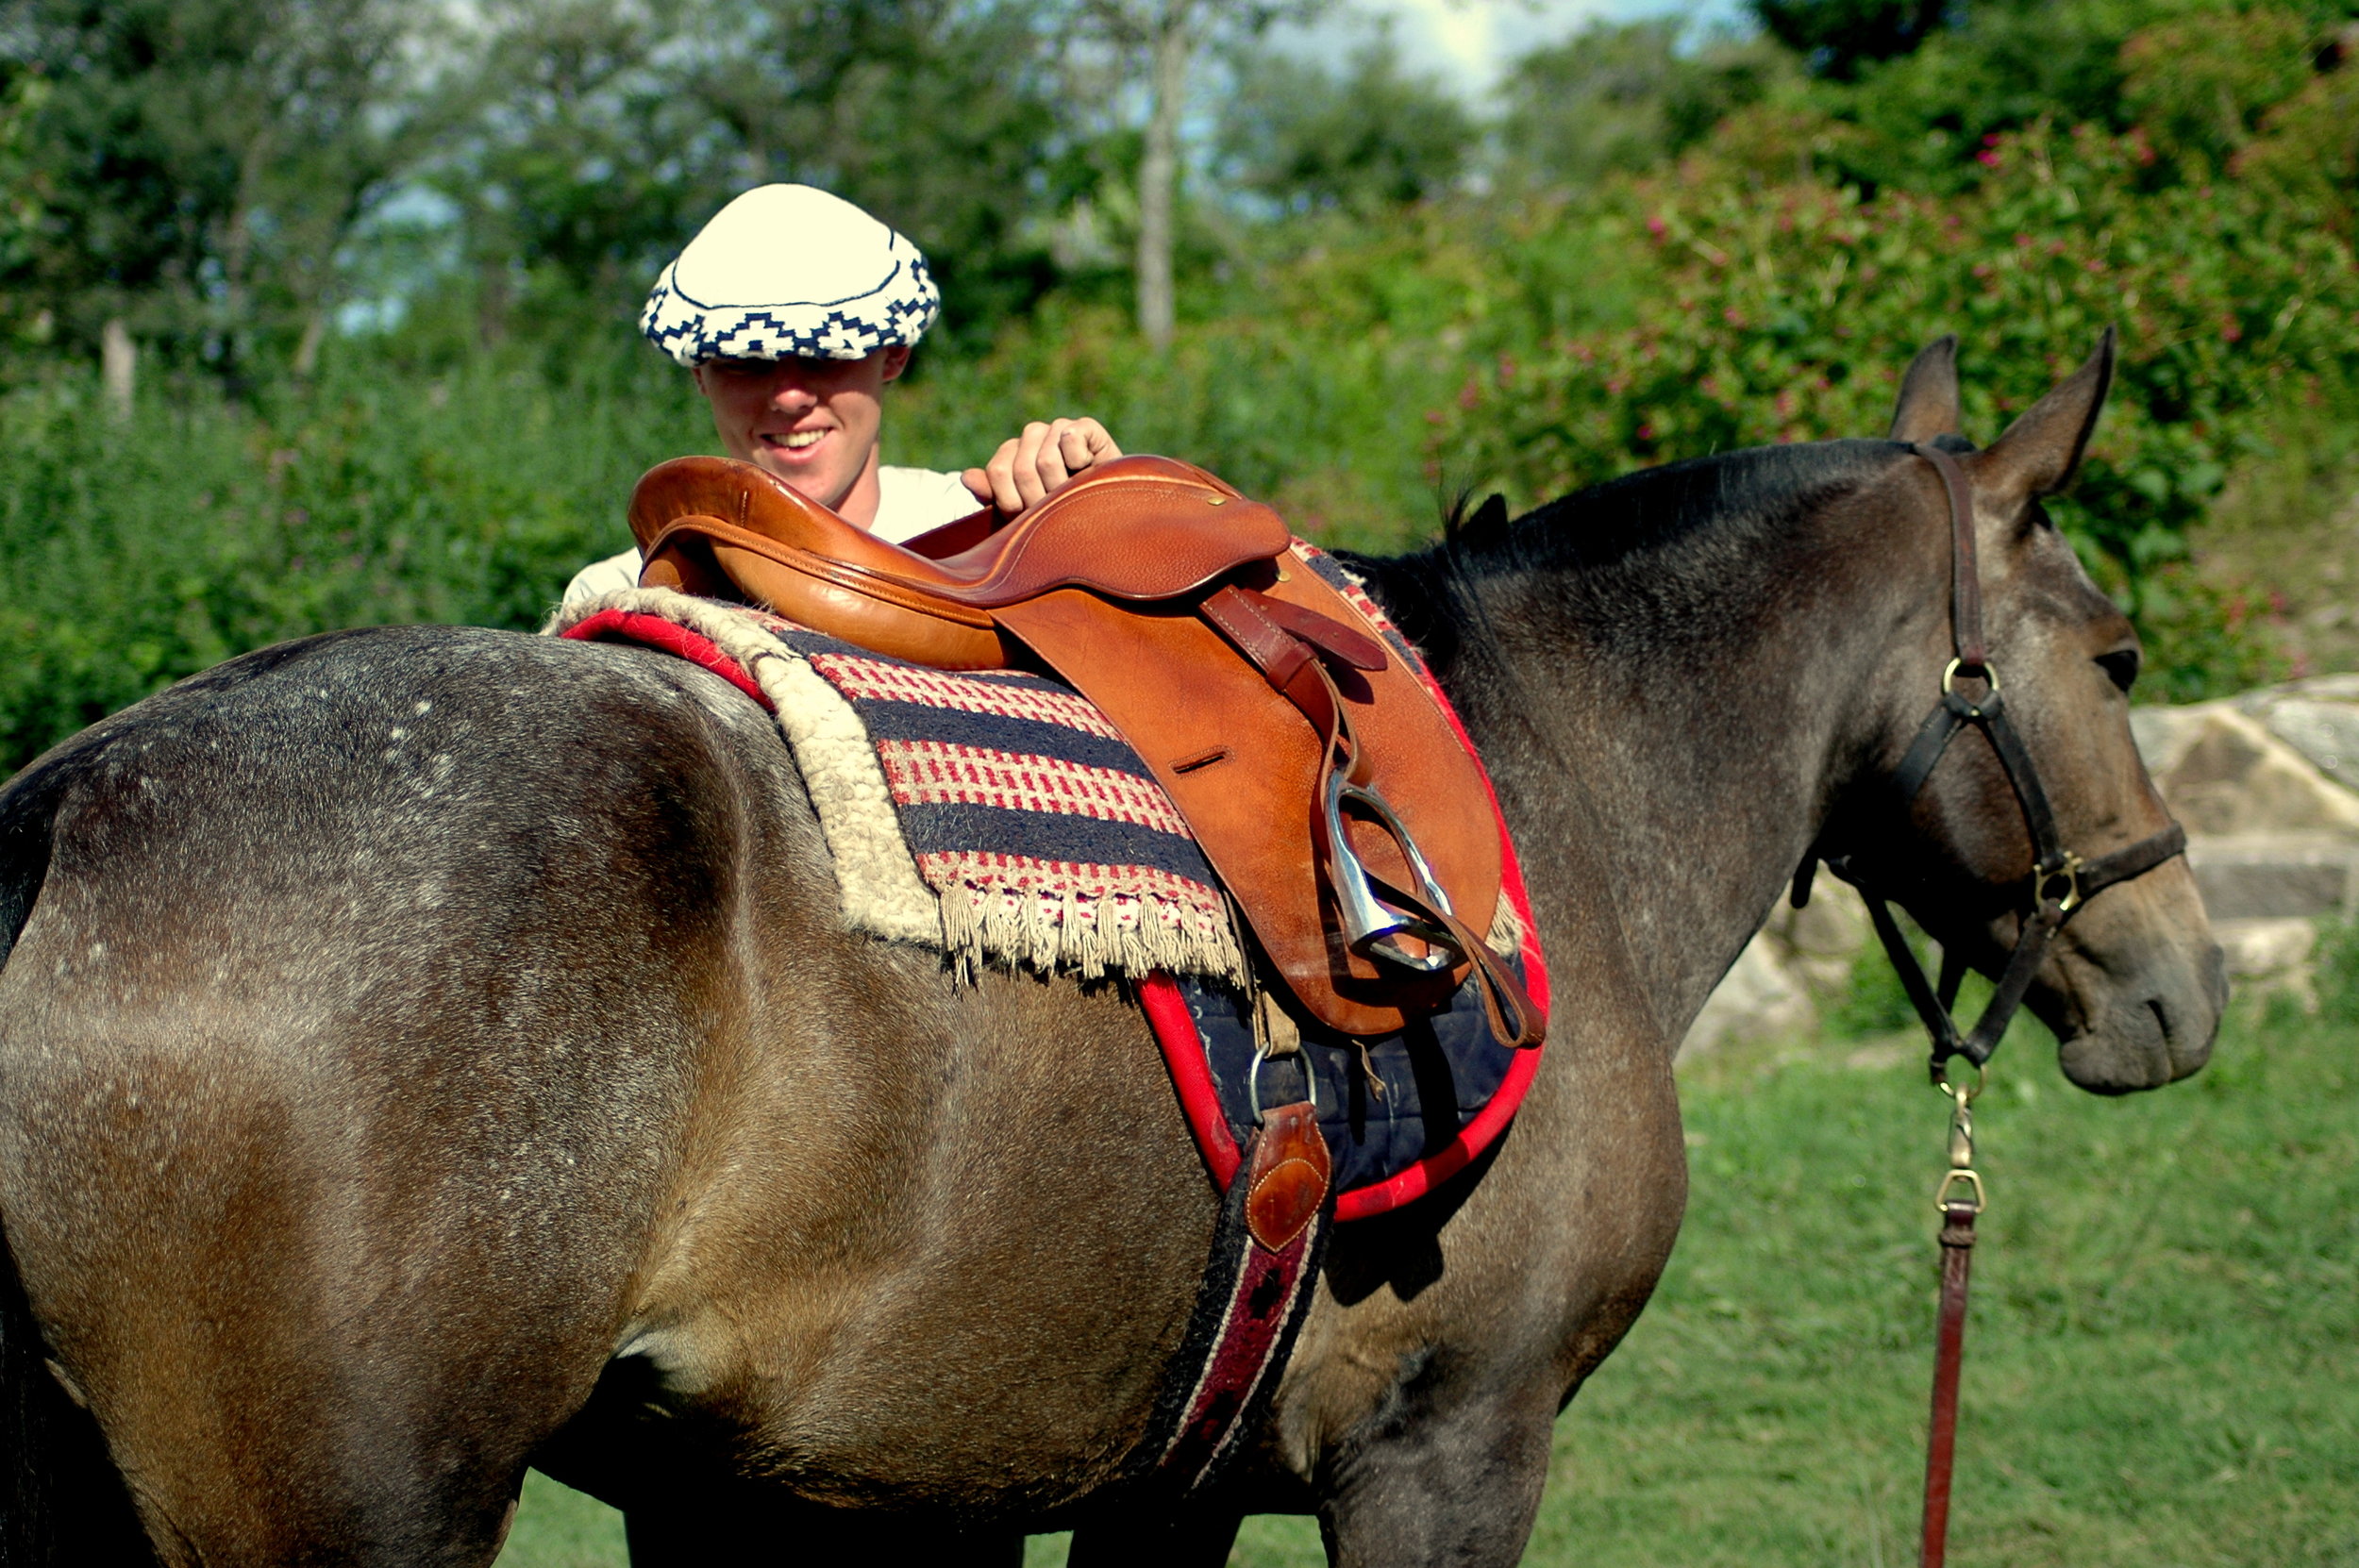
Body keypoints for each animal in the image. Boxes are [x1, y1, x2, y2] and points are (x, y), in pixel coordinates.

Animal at [0, 332, 2208, 1565]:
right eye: (2113, 657)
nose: (2178, 986)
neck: (1560, 771)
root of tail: (60, 806)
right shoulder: (1450, 1454)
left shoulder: (1184, 1486)